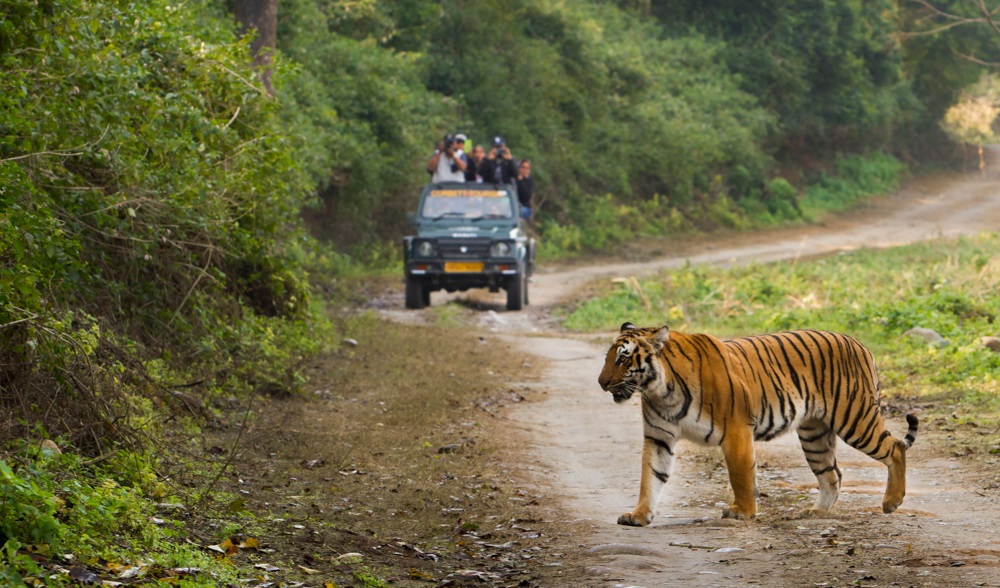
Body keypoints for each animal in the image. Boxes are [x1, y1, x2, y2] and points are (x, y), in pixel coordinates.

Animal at [598, 322, 918, 527]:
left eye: (623, 359)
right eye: (607, 358)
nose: (601, 382)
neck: (659, 391)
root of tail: (860, 344)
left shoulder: (736, 429)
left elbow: (740, 475)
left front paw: (742, 512)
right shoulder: (659, 437)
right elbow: (650, 477)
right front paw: (639, 515)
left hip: (855, 418)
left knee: (895, 447)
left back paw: (891, 501)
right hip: (814, 434)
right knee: (833, 474)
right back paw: (815, 512)